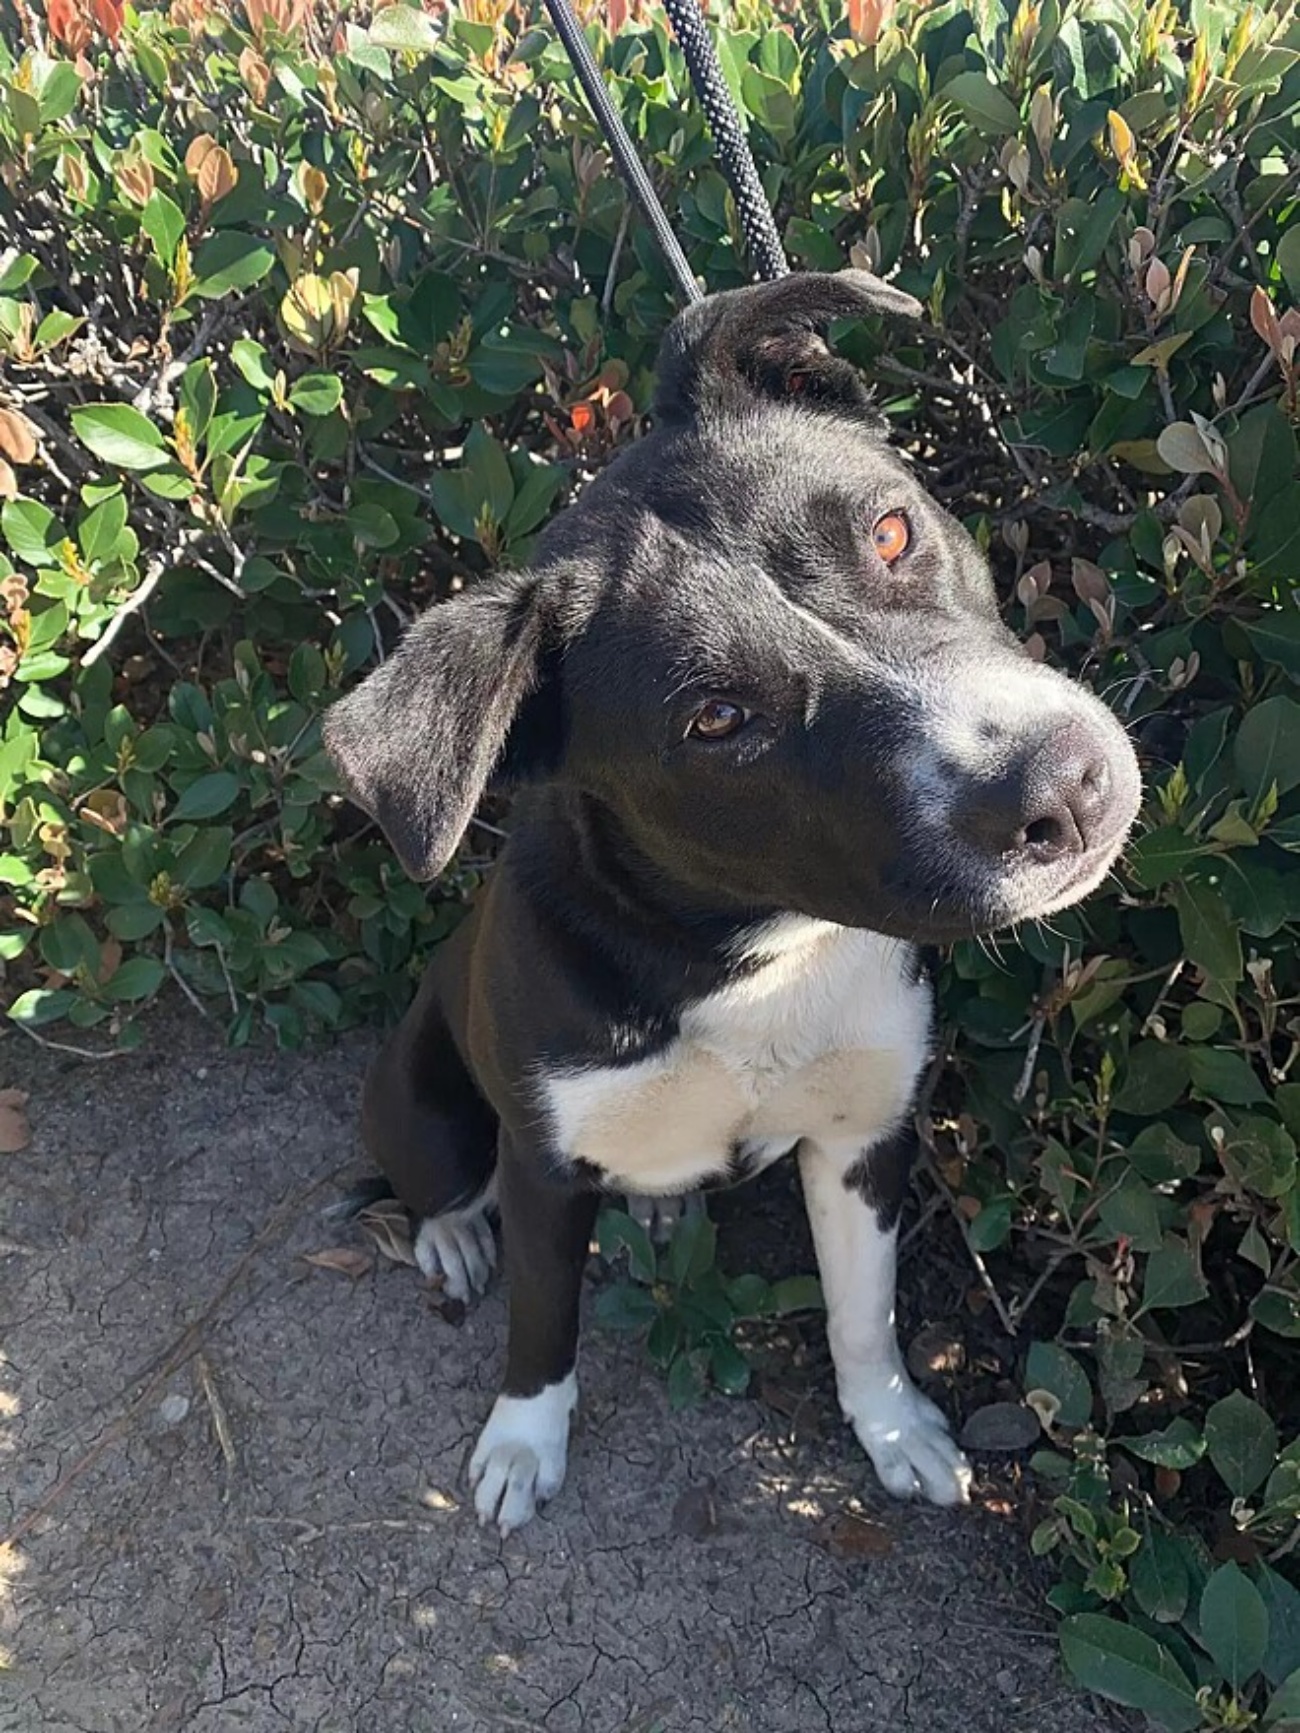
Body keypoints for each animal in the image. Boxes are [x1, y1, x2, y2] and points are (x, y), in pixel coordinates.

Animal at [324, 266, 1137, 1531]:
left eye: (892, 530)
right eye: (716, 718)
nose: (1065, 786)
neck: (747, 956)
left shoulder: (863, 1137)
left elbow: (863, 1314)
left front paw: (894, 1428)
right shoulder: (545, 1167)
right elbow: (542, 1321)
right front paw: (520, 1443)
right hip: (424, 1101)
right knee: (439, 1182)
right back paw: (451, 1236)